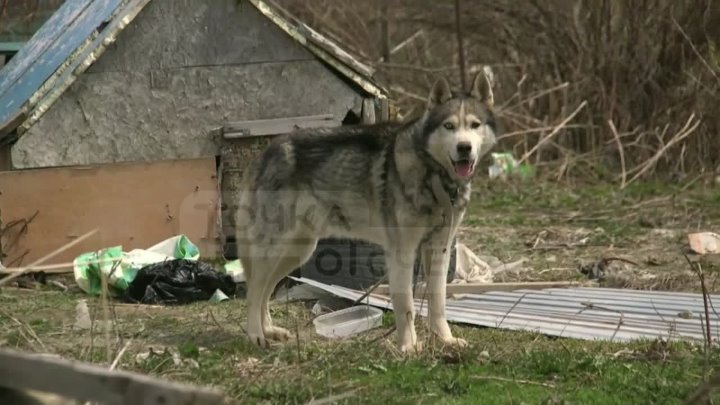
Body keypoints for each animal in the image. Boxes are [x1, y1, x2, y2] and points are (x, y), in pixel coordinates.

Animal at [236, 69, 496, 350]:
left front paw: (446, 340)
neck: (435, 177)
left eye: (474, 125)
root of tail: (265, 152)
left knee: (264, 293)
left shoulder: (439, 249)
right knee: (254, 293)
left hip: (297, 252)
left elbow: (438, 303)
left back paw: (270, 330)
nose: (464, 147)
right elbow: (406, 305)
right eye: (449, 126)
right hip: (274, 251)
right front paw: (409, 347)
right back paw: (256, 335)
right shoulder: (402, 253)